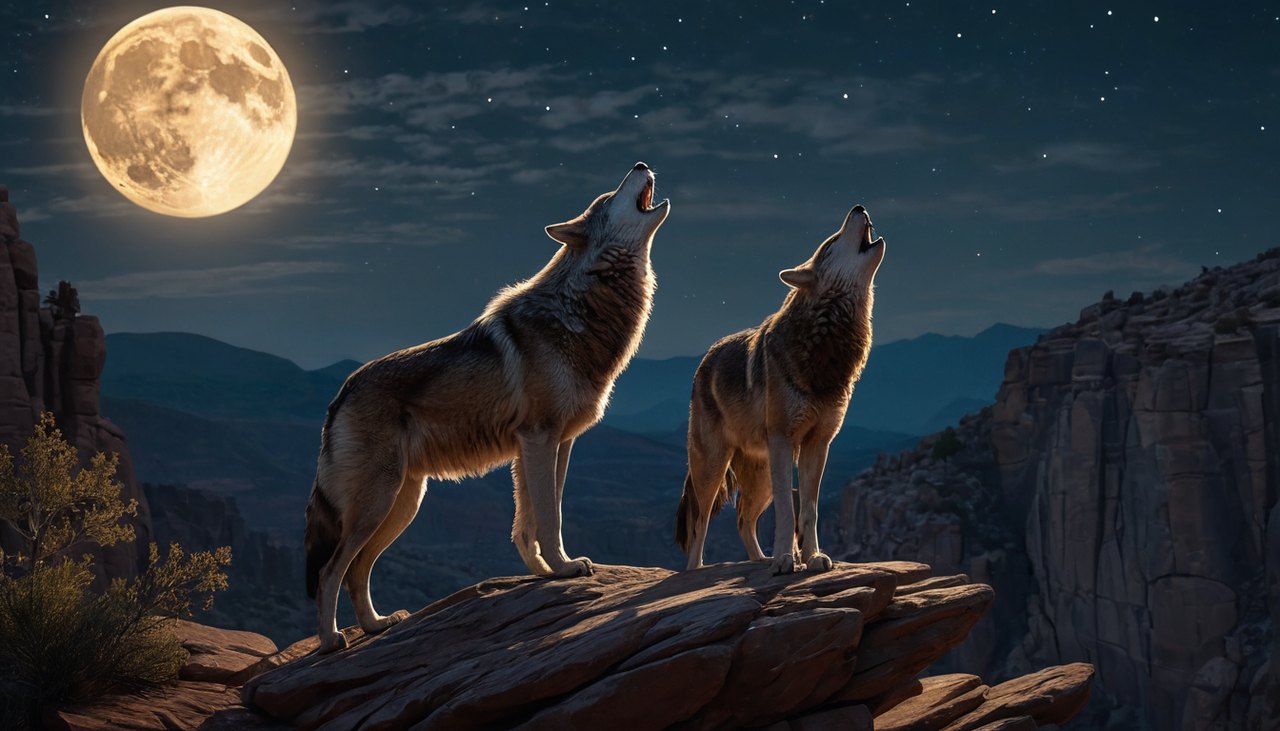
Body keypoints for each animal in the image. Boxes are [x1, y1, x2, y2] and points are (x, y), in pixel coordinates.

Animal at [305, 162, 670, 653]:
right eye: (608, 196)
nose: (640, 164)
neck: (580, 308)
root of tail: (339, 395)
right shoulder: (539, 438)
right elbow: (549, 517)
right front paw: (565, 569)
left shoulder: (555, 445)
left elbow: (529, 521)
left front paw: (543, 572)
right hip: (379, 503)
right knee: (331, 570)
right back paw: (331, 640)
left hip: (403, 503)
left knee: (357, 570)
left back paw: (377, 625)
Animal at [675, 204, 885, 575]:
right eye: (831, 243)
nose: (859, 207)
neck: (826, 344)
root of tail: (706, 358)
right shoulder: (784, 441)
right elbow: (788, 511)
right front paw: (787, 558)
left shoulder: (818, 444)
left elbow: (809, 510)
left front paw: (812, 557)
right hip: (714, 468)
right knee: (701, 521)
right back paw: (697, 570)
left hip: (761, 480)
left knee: (743, 520)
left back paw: (761, 560)